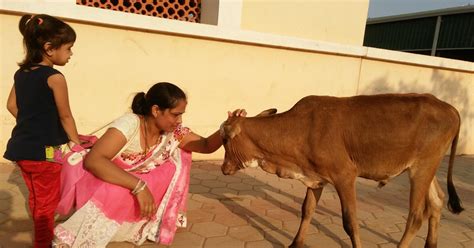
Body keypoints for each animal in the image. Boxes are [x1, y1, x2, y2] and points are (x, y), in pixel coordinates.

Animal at [221, 93, 462, 248]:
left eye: (224, 140)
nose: (223, 168)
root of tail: (450, 108)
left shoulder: (345, 176)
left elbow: (350, 222)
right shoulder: (315, 178)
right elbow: (307, 210)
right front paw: (296, 244)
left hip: (422, 169)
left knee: (416, 216)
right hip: (425, 168)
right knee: (437, 201)